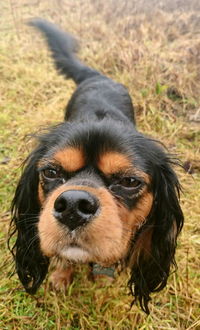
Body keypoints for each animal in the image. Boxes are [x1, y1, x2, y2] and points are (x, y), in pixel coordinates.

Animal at [9, 19, 184, 314]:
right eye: (51, 172)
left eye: (129, 182)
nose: (72, 205)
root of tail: (97, 75)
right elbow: (65, 259)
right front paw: (61, 276)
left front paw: (101, 278)